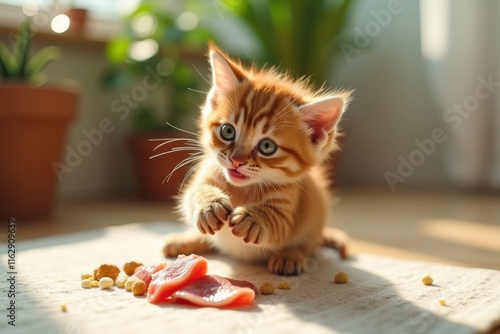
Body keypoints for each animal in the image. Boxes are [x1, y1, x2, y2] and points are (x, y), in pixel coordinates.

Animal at [162, 43, 350, 276]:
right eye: (227, 131)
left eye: (267, 146)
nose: (236, 160)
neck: (243, 189)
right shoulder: (205, 175)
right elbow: (193, 193)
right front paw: (210, 205)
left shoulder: (288, 210)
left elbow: (276, 223)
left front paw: (253, 218)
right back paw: (185, 240)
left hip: (315, 217)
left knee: (308, 246)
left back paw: (291, 256)